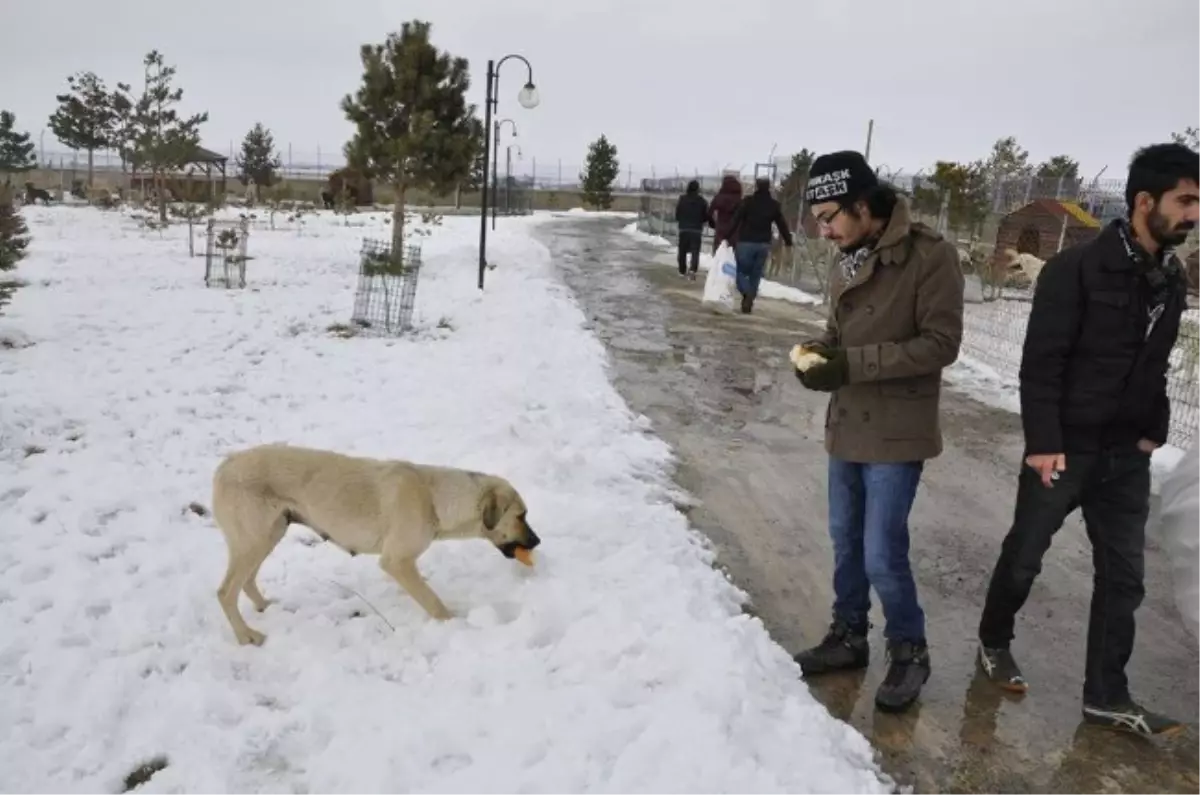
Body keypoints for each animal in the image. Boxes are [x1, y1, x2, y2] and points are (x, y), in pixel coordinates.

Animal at [210, 444, 540, 643]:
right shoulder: (397, 562)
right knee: (225, 592)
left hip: (268, 535)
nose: (537, 541)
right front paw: (453, 625)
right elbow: (433, 602)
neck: (435, 499)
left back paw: (264, 607)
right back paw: (246, 636)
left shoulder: (404, 565)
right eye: (521, 515)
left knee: (246, 581)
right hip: (254, 541)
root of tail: (226, 464)